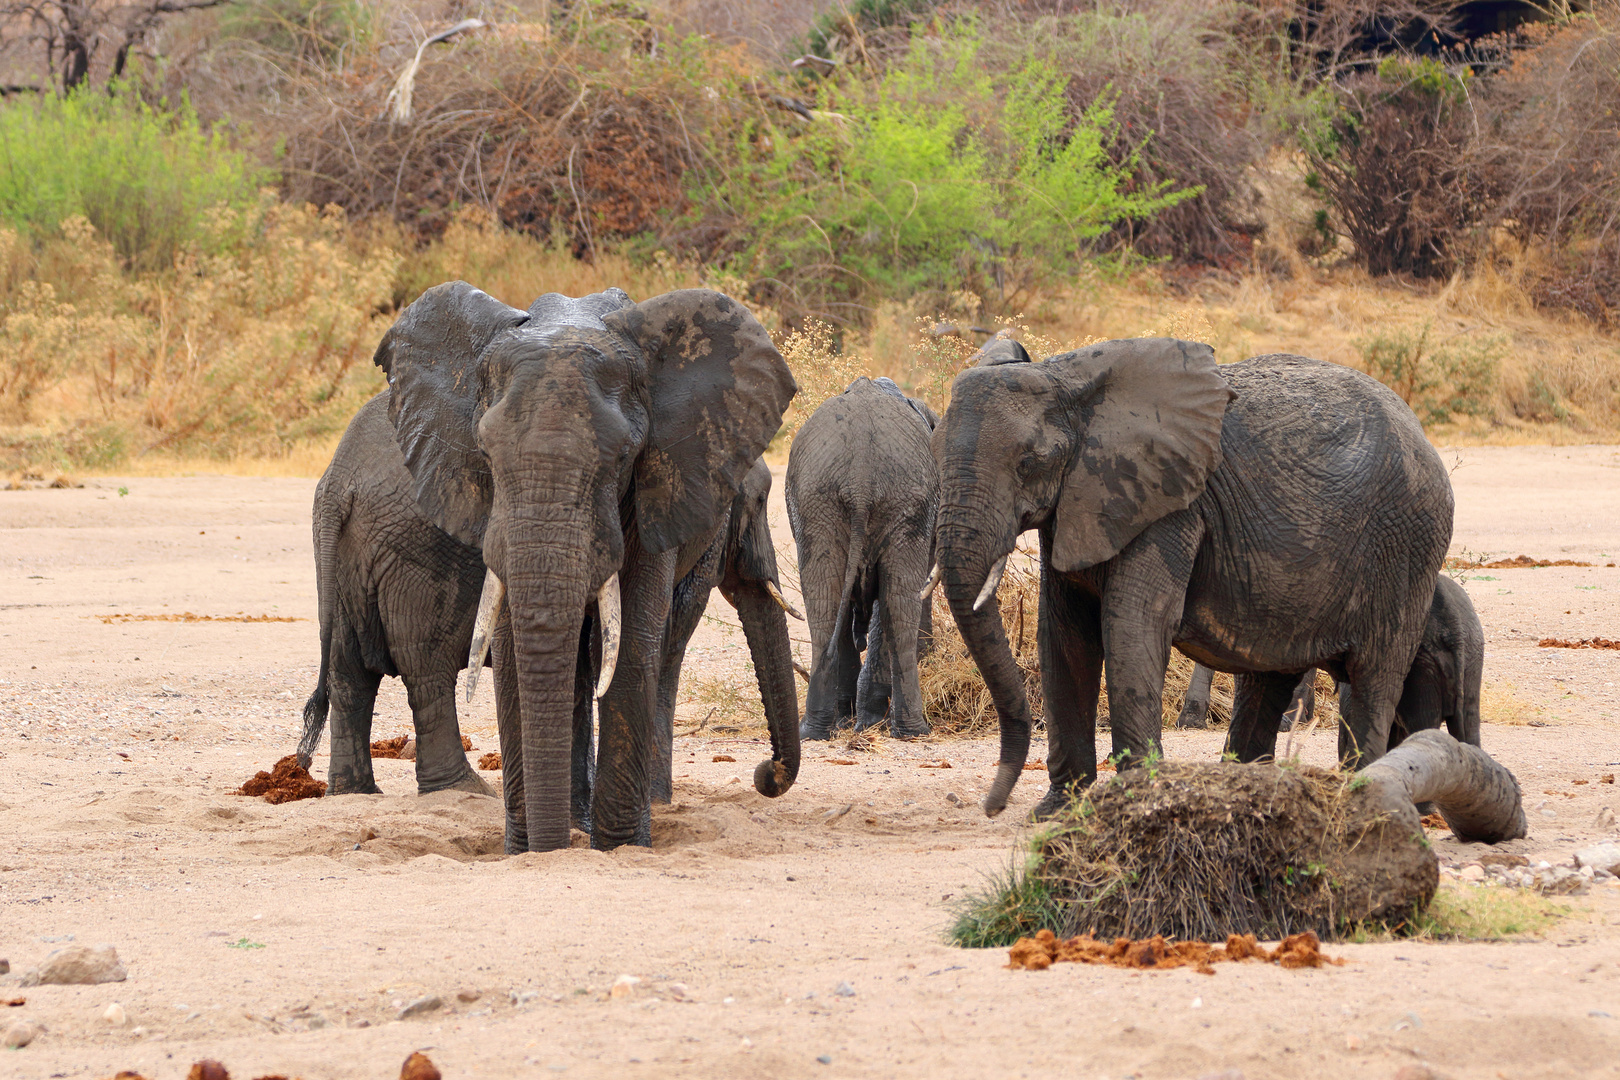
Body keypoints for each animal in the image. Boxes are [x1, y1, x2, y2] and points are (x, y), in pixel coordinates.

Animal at [369, 281, 797, 854]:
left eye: (621, 458)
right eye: (485, 454)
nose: (764, 775)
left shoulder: (657, 488)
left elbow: (634, 644)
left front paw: (618, 848)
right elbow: (513, 646)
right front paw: (525, 850)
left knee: (658, 648)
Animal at [784, 375, 939, 738]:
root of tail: (860, 473)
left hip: (825, 500)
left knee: (827, 603)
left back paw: (818, 730)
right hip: (886, 499)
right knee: (895, 604)